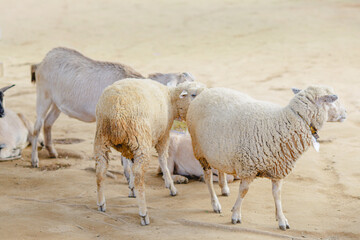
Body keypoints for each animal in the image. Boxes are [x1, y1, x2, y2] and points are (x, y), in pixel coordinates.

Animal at [30, 46, 194, 167]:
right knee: (37, 126)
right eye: (184, 92)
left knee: (48, 123)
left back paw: (52, 152)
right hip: (44, 95)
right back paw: (34, 160)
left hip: (57, 104)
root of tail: (43, 61)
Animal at [93, 78, 205, 225]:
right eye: (193, 94)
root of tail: (116, 111)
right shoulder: (163, 135)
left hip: (102, 138)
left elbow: (130, 165)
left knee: (100, 170)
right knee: (139, 173)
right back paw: (144, 213)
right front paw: (171, 187)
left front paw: (131, 189)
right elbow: (162, 160)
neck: (170, 98)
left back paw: (101, 203)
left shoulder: (128, 146)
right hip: (140, 137)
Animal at [186, 85, 346, 230]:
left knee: (220, 168)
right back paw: (215, 203)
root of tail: (206, 91)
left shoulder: (278, 169)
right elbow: (243, 191)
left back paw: (224, 188)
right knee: (207, 177)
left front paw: (281, 219)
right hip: (199, 149)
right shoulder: (248, 168)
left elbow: (277, 195)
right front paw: (236, 215)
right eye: (333, 100)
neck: (286, 121)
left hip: (218, 150)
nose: (346, 112)